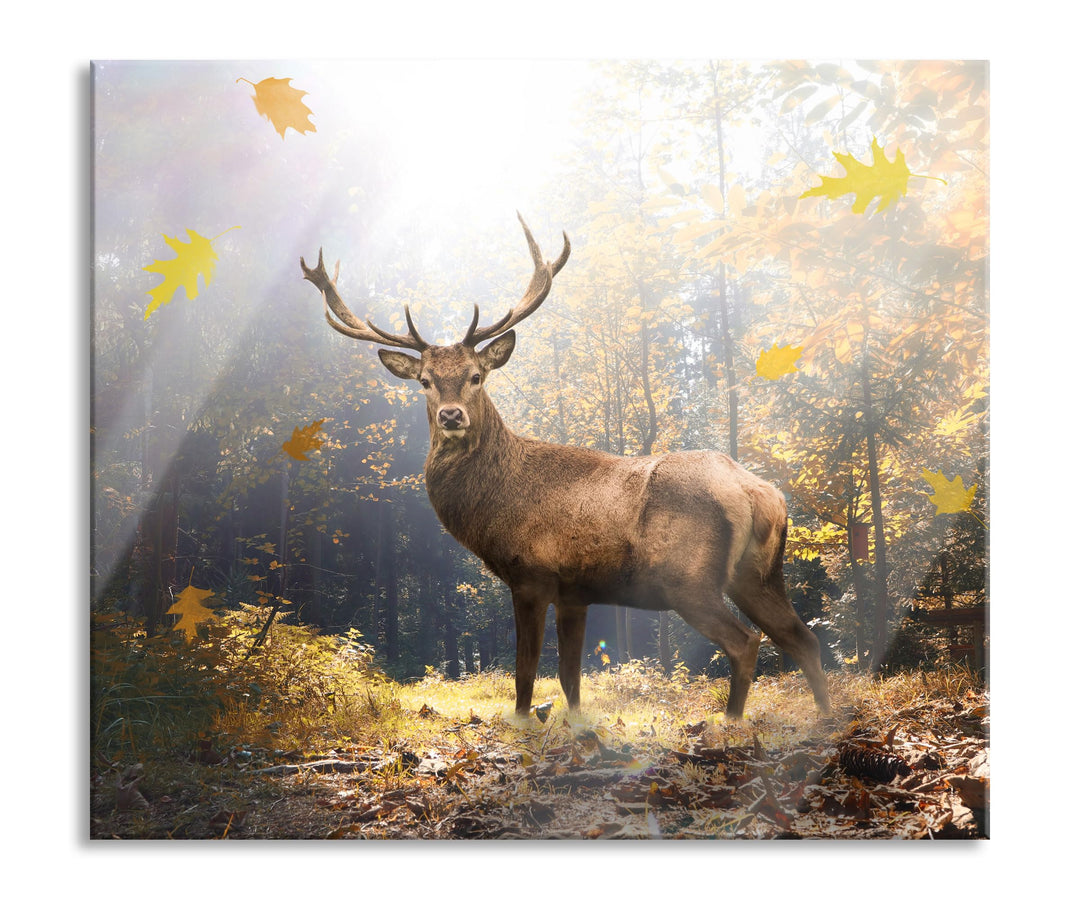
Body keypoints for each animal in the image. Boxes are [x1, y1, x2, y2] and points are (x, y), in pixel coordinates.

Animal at [300, 214, 830, 720]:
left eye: (476, 376)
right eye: (425, 381)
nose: (452, 416)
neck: (493, 507)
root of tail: (760, 492)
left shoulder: (531, 574)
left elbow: (525, 671)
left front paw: (521, 724)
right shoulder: (576, 591)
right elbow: (571, 677)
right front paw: (575, 726)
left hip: (688, 578)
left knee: (746, 642)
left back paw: (732, 722)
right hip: (758, 574)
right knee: (803, 637)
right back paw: (826, 717)